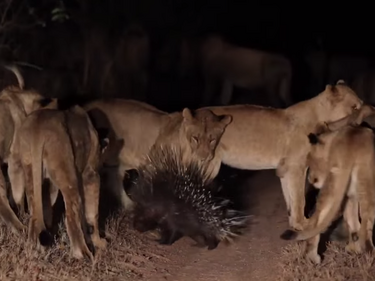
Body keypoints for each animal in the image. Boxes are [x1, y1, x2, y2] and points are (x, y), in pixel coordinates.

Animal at [10, 105, 107, 260]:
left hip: (31, 168)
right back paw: (83, 254)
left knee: (35, 212)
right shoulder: (90, 174)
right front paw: (98, 242)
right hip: (67, 172)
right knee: (71, 216)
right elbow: (92, 213)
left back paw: (34, 247)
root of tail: (38, 127)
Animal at [197, 80, 364, 230]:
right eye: (354, 107)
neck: (322, 119)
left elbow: (290, 197)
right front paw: (303, 224)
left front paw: (294, 223)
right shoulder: (297, 166)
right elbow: (299, 198)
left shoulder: (286, 167)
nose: (363, 123)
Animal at [280, 104, 375, 262]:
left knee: (320, 221)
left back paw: (312, 259)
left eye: (311, 162)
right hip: (364, 184)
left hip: (338, 187)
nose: (310, 180)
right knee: (365, 223)